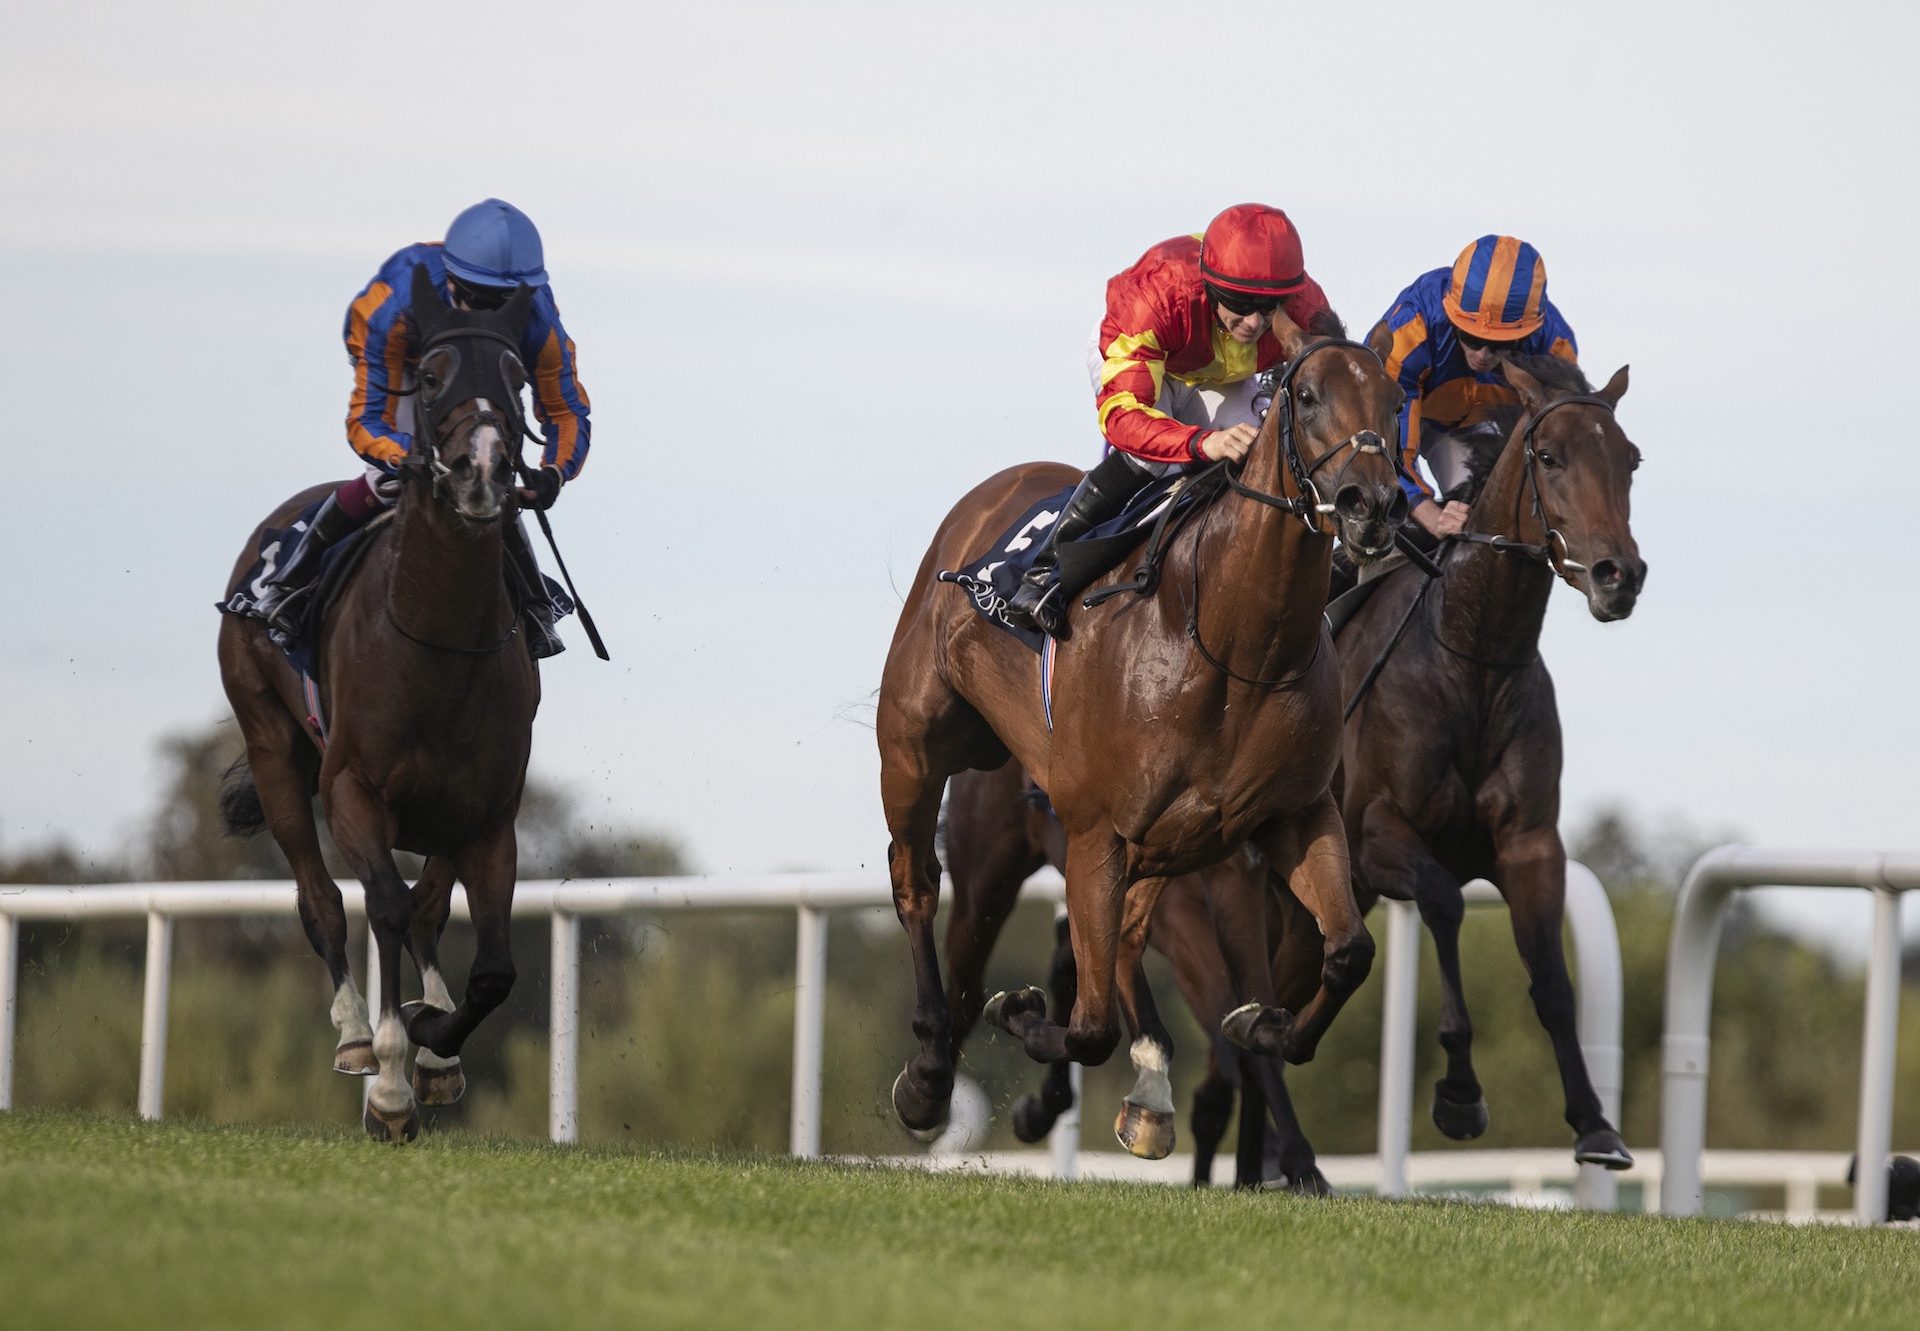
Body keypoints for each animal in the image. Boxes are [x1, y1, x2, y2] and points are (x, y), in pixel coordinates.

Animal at [219, 272, 549, 1144]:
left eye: (518, 379)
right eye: (429, 376)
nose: (482, 469)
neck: (437, 642)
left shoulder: (487, 812)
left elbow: (490, 966)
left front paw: (433, 1041)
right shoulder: (352, 792)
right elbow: (384, 906)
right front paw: (394, 1081)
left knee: (429, 910)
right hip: (273, 747)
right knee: (323, 901)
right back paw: (357, 1036)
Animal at [879, 316, 1405, 1160]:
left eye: (1395, 402)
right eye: (1308, 396)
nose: (1372, 506)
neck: (1235, 644)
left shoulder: (1292, 814)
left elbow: (1350, 949)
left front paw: (1266, 1024)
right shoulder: (1097, 832)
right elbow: (1088, 1026)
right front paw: (1020, 1013)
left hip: (1157, 845)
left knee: (1118, 939)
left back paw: (1147, 1087)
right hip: (916, 748)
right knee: (920, 887)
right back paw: (927, 1076)